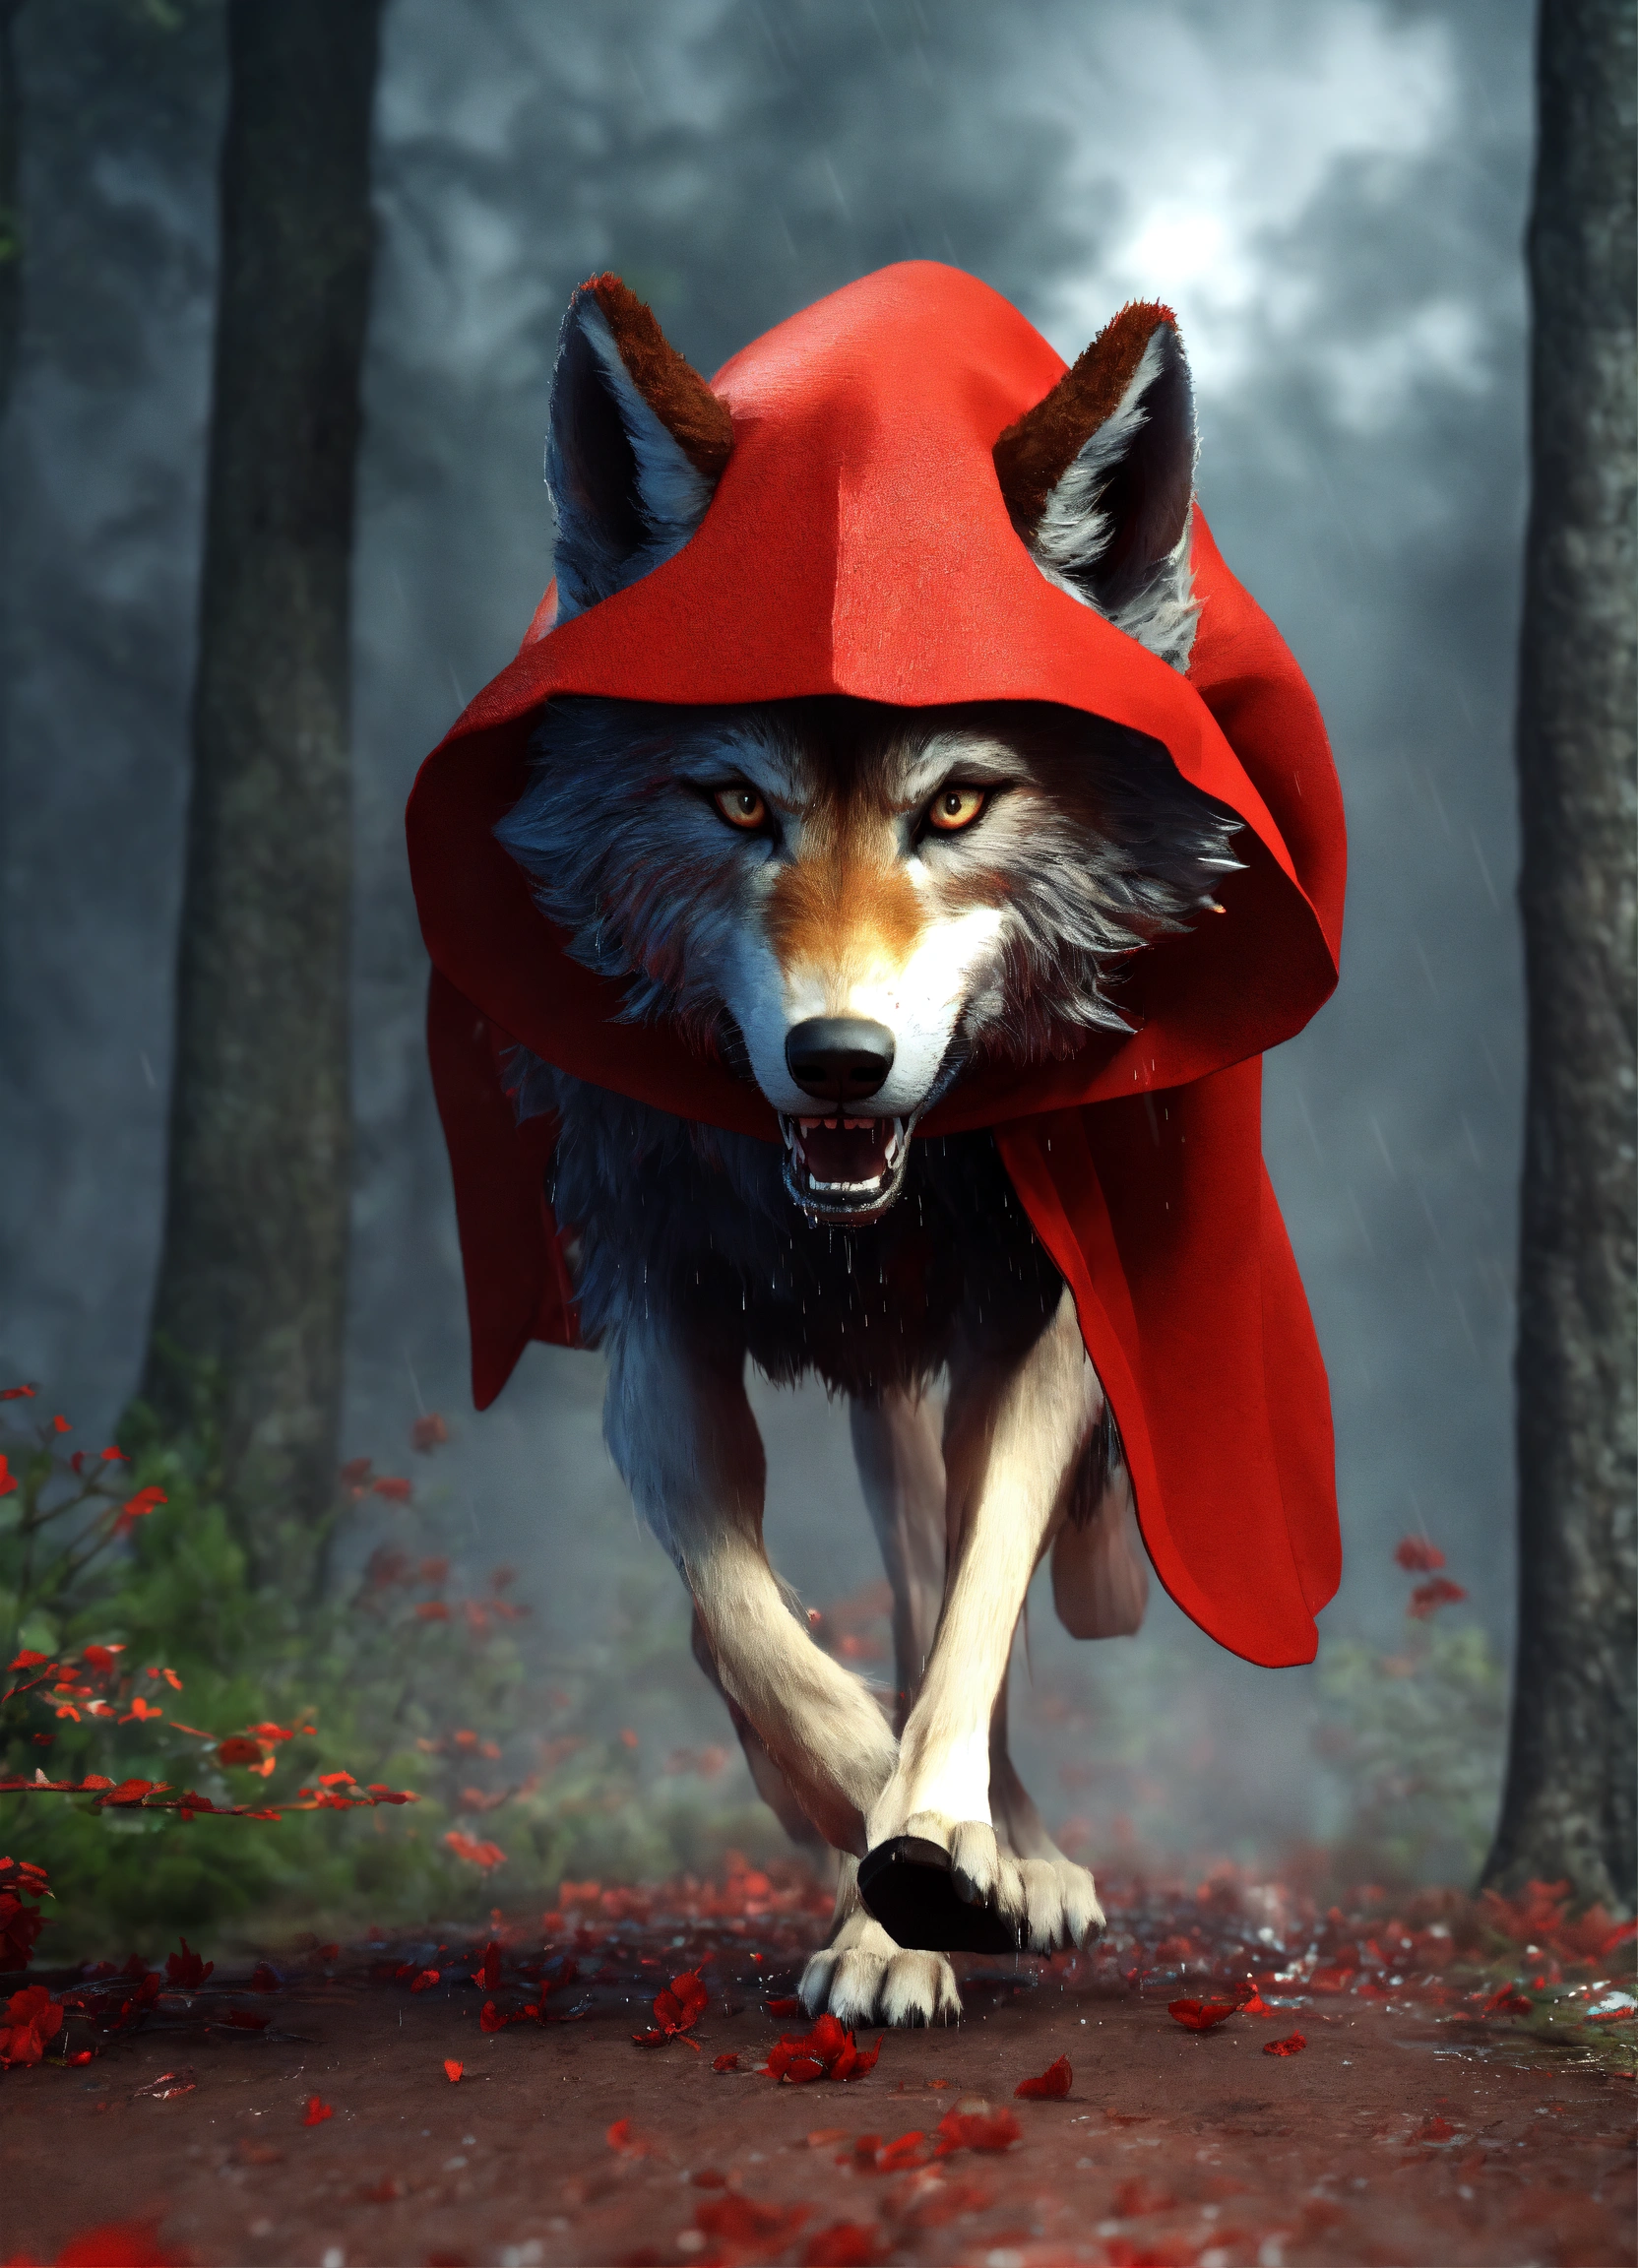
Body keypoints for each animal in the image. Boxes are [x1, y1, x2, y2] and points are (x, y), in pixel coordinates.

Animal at [410, 265, 1343, 2030]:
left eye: (958, 803)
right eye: (734, 802)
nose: (836, 1056)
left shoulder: (1043, 1321)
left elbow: (965, 1626)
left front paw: (959, 1863)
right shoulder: (656, 1319)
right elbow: (756, 1639)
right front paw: (880, 1871)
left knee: (951, 1602)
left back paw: (1012, 1845)